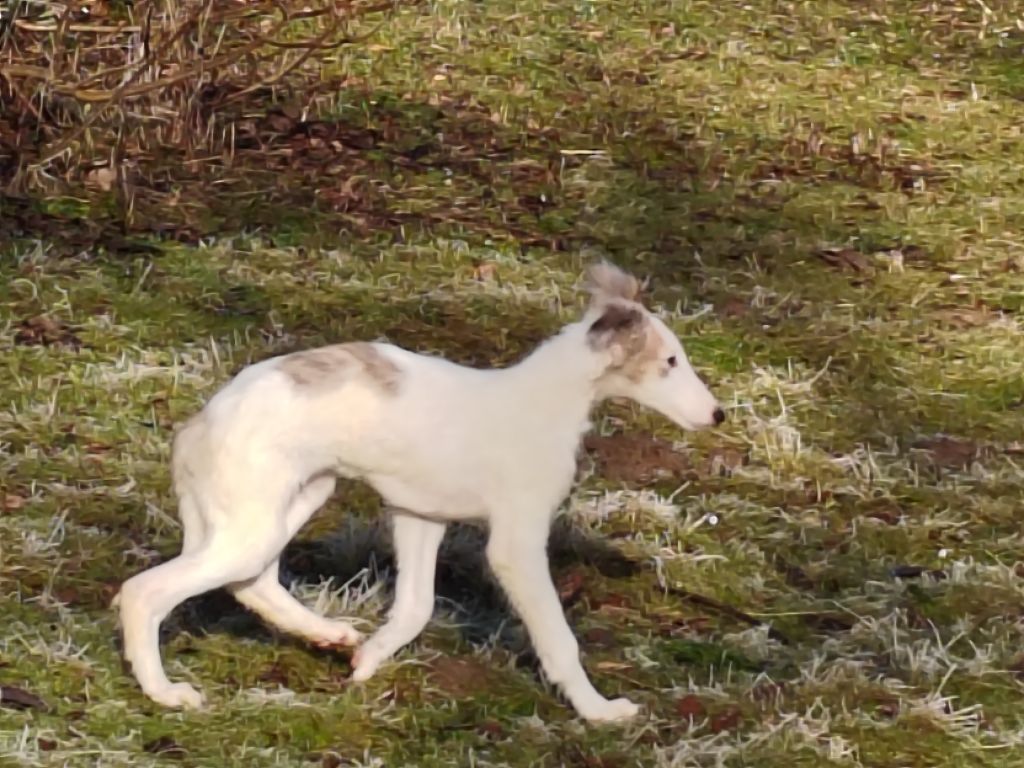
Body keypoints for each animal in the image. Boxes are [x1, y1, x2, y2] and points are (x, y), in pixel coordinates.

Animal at [117, 262, 720, 724]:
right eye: (670, 361)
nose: (718, 415)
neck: (543, 402)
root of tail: (195, 427)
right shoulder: (516, 543)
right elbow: (558, 639)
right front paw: (599, 711)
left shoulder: (419, 515)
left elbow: (414, 607)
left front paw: (368, 663)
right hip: (252, 520)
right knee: (144, 592)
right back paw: (164, 693)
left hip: (292, 500)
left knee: (254, 582)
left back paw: (329, 635)